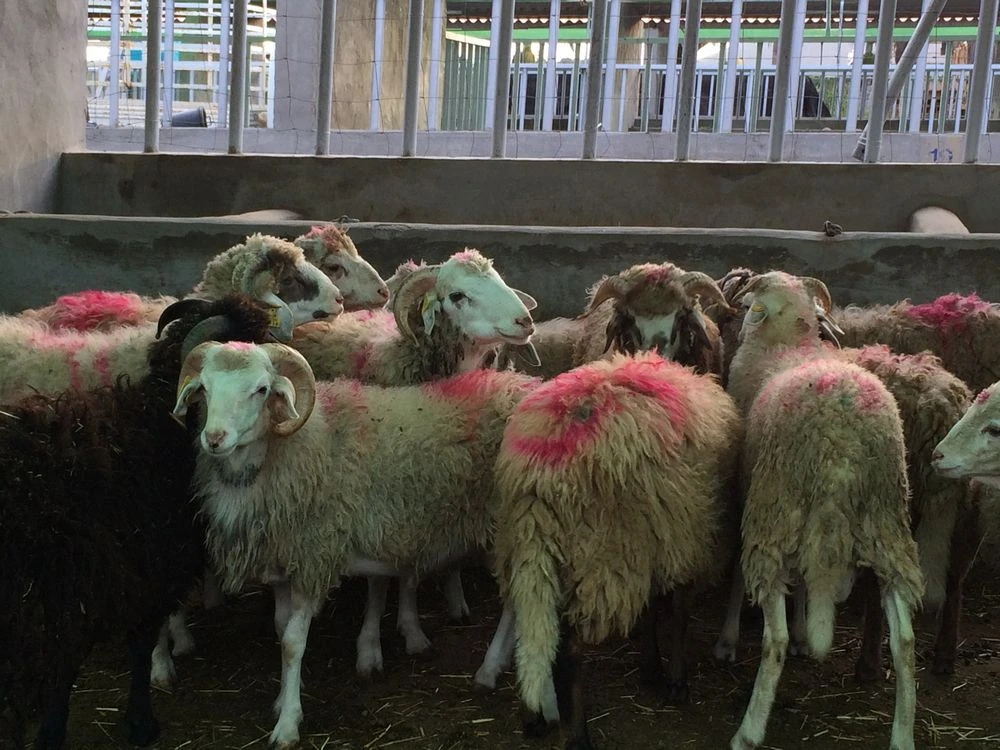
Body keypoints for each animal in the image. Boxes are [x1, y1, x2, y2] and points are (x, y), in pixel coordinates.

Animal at [170, 342, 540, 748]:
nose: (214, 438)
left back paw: (489, 669)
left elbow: (293, 642)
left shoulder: (315, 555)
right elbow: (281, 628)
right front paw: (283, 699)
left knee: (518, 600)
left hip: (510, 524)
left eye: (261, 389)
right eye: (204, 387)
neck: (291, 449)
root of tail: (525, 386)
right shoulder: (285, 560)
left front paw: (288, 723)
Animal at [492, 351, 742, 749]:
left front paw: (652, 668)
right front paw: (675, 680)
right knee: (572, 650)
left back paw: (533, 715)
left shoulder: (652, 538)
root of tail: (538, 479)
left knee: (529, 623)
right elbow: (680, 612)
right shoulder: (686, 537)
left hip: (525, 548)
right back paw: (577, 735)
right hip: (593, 555)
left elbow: (652, 607)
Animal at [725, 271, 923, 750]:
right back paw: (902, 734)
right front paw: (803, 632)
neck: (790, 341)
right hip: (886, 521)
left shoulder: (750, 490)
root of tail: (841, 447)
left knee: (772, 638)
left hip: (777, 509)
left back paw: (749, 730)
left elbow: (738, 571)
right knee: (905, 642)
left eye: (748, 307)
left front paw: (730, 638)